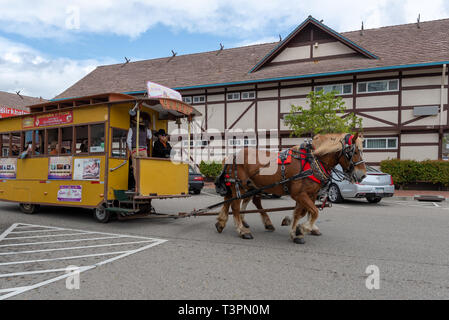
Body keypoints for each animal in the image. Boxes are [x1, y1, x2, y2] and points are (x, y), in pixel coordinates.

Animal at [215, 132, 366, 245]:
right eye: (354, 152)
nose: (363, 175)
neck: (312, 161)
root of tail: (233, 155)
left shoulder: (310, 194)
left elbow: (301, 213)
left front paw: (296, 232)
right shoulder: (299, 194)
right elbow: (314, 212)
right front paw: (303, 229)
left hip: (249, 186)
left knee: (232, 200)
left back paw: (222, 223)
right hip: (240, 185)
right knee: (234, 205)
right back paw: (242, 230)